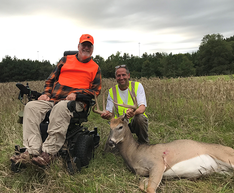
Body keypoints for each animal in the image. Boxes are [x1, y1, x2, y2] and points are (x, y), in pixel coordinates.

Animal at [91, 90, 234, 193]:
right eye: (110, 127)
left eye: (120, 127)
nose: (111, 142)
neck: (136, 154)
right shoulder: (143, 173)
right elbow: (142, 186)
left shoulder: (158, 164)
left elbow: (150, 189)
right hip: (221, 170)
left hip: (227, 157)